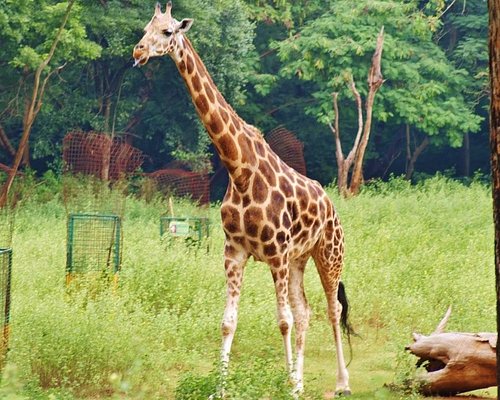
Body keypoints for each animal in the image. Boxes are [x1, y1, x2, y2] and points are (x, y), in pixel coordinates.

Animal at [133, 2, 352, 396]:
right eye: (145, 29)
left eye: (168, 32)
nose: (138, 52)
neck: (239, 169)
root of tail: (331, 206)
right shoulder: (234, 251)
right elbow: (228, 321)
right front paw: (220, 388)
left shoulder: (276, 254)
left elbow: (282, 321)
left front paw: (283, 385)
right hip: (299, 259)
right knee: (306, 311)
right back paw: (300, 383)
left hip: (328, 254)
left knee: (332, 309)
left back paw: (341, 382)